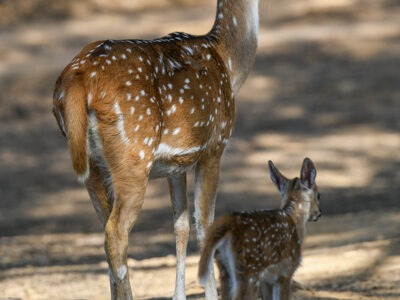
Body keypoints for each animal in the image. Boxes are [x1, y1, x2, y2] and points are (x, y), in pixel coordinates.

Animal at [51, 0, 260, 300]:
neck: (228, 63)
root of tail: (76, 78)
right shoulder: (214, 146)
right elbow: (205, 225)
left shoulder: (177, 163)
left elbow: (181, 226)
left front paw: (179, 296)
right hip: (133, 155)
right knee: (116, 233)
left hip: (94, 167)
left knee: (105, 230)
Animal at [198, 158, 320, 298]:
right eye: (319, 195)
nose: (319, 213)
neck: (294, 219)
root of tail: (228, 221)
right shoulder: (286, 271)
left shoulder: (268, 280)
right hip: (249, 269)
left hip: (224, 269)